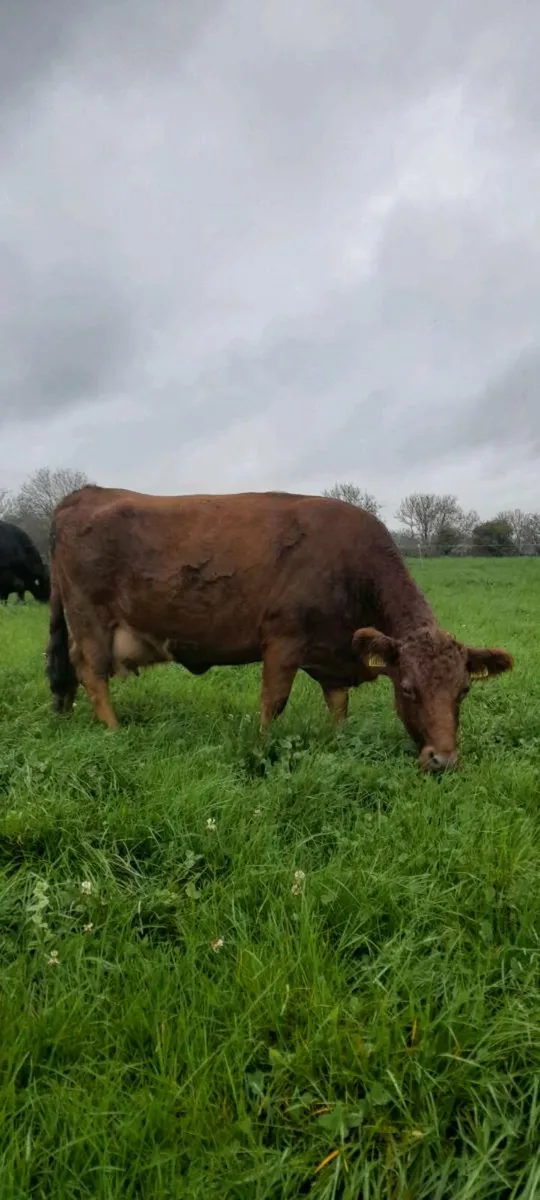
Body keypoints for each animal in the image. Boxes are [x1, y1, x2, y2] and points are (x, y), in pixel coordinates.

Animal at [45, 485, 513, 772]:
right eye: (409, 689)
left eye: (463, 691)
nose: (443, 760)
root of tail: (86, 492)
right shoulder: (283, 641)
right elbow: (274, 703)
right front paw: (263, 743)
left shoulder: (333, 654)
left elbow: (338, 706)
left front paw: (336, 740)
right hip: (90, 620)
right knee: (91, 673)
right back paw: (113, 732)